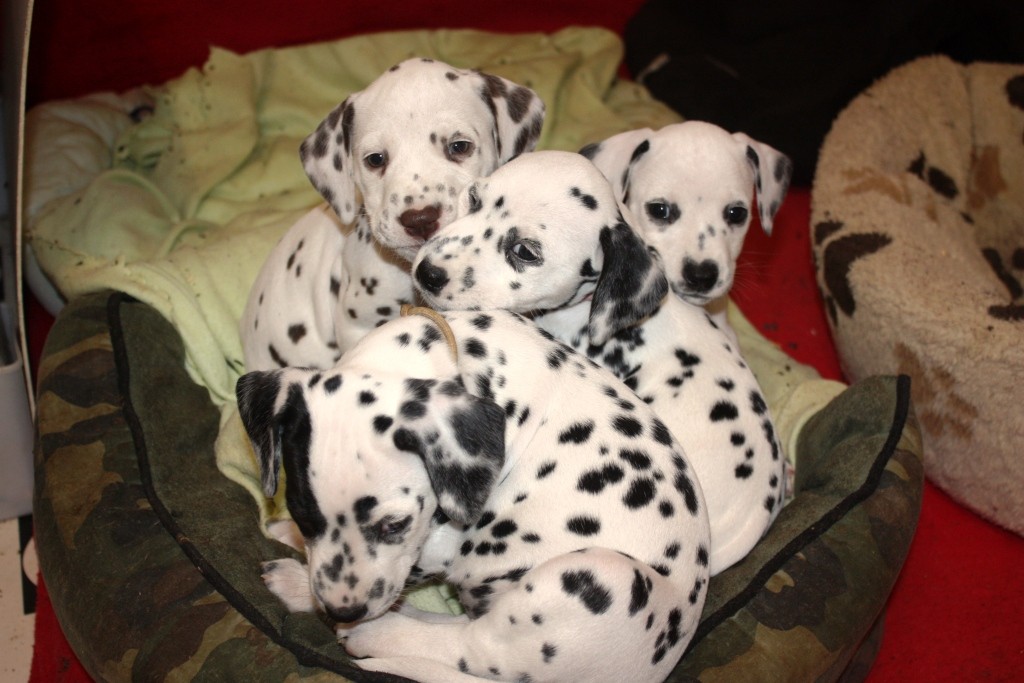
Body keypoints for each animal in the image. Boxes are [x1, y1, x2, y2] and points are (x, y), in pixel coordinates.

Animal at [237, 308, 711, 682]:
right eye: (302, 514)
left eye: (395, 524)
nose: (343, 610)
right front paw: (289, 540)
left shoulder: (440, 543)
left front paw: (310, 589)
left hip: (598, 576)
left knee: (469, 648)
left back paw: (372, 631)